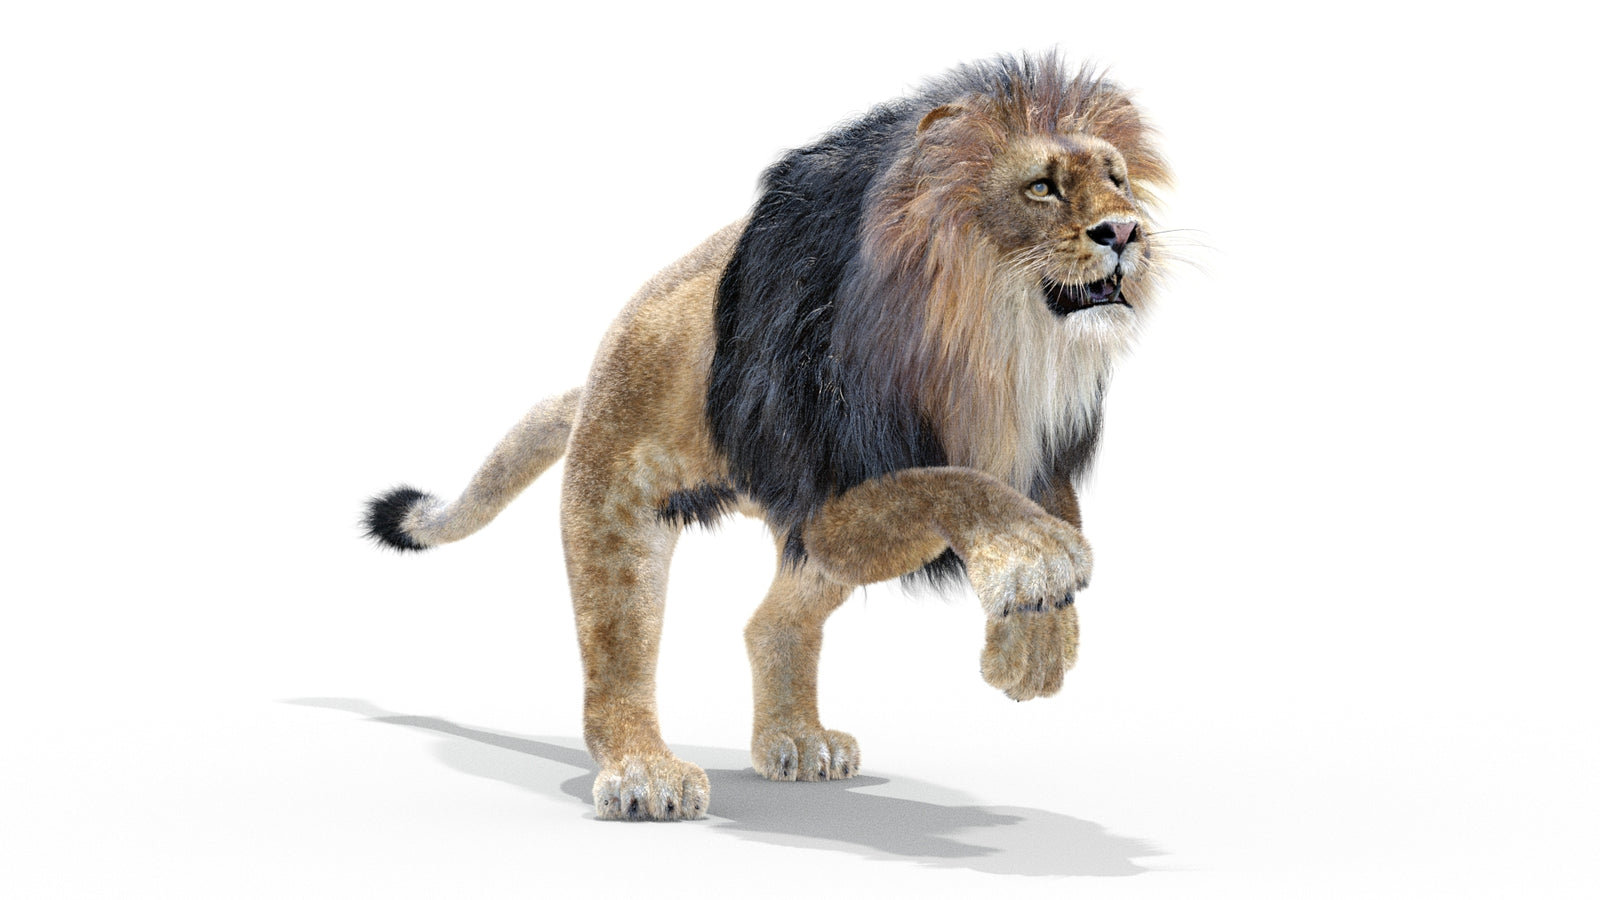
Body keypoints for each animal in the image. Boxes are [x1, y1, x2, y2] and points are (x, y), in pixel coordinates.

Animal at [363, 53, 1171, 821]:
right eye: (1042, 187)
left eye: (1118, 180)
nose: (1126, 232)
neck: (994, 343)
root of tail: (597, 374)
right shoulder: (836, 494)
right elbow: (954, 483)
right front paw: (1036, 565)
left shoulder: (1023, 454)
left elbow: (1050, 500)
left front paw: (1034, 646)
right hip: (620, 510)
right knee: (615, 665)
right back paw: (644, 774)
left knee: (767, 626)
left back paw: (796, 740)